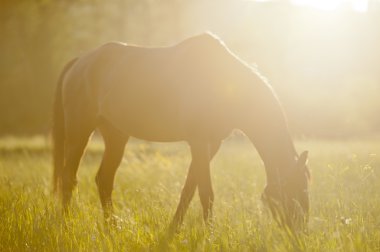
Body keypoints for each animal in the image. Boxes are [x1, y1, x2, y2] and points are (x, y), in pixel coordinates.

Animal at [52, 32, 310, 231]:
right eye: (295, 188)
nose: (300, 231)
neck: (222, 81)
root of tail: (80, 62)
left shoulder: (211, 145)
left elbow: (189, 189)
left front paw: (174, 229)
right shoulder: (198, 142)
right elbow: (205, 193)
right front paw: (209, 235)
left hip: (116, 136)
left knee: (104, 180)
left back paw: (113, 228)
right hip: (79, 131)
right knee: (68, 178)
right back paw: (66, 226)